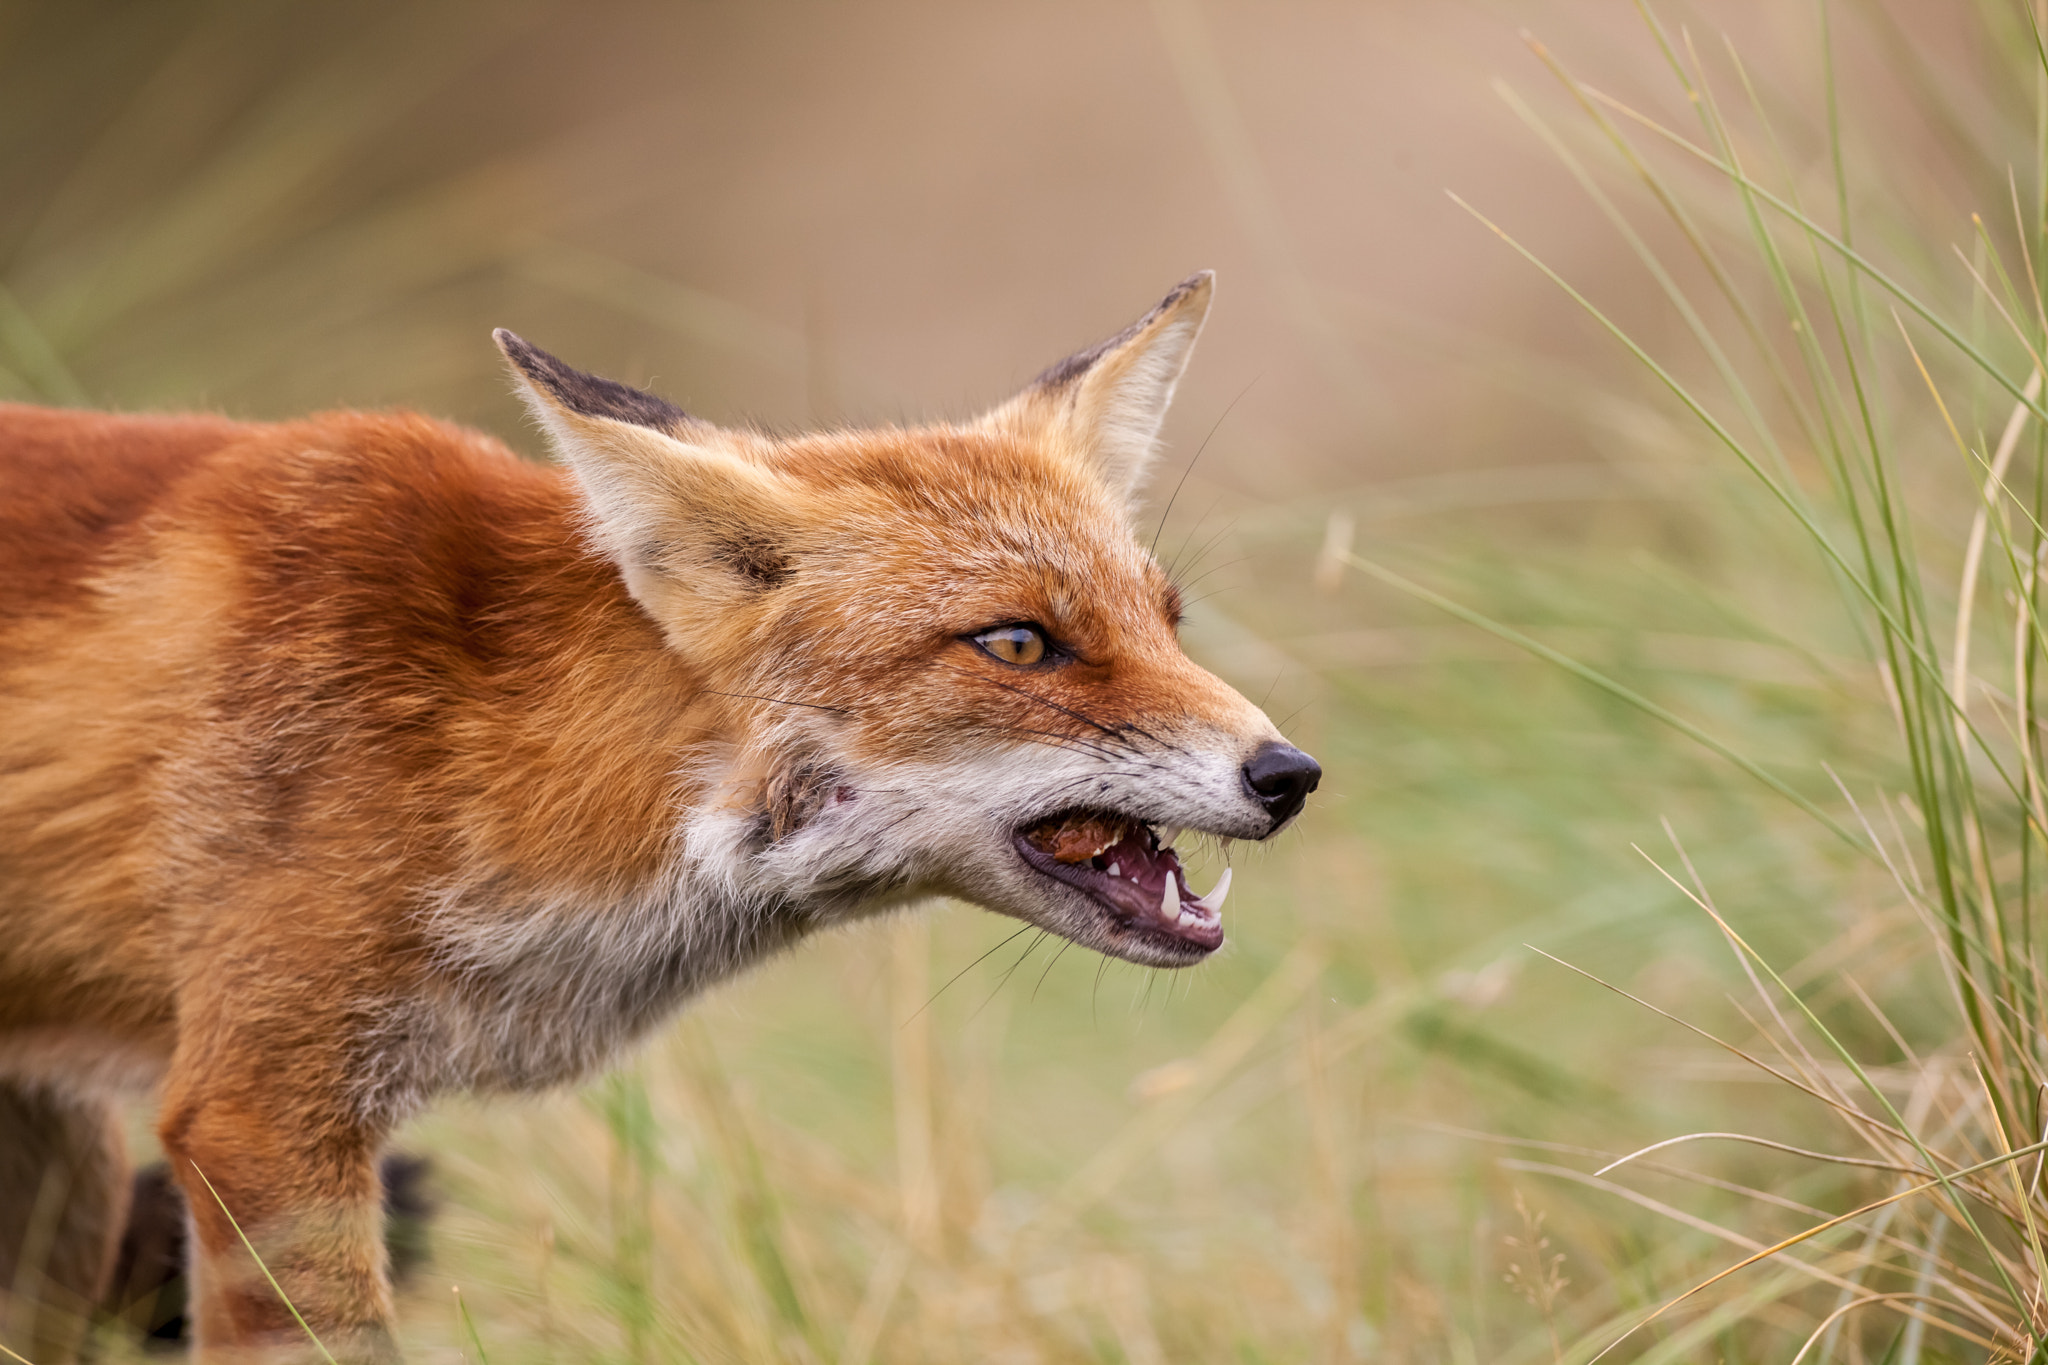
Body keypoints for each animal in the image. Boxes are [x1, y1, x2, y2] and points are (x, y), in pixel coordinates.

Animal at [0, 272, 1310, 1358]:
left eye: (1168, 623)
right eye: (1019, 644)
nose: (1289, 774)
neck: (484, 753)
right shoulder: (262, 1109)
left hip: (62, 1189)